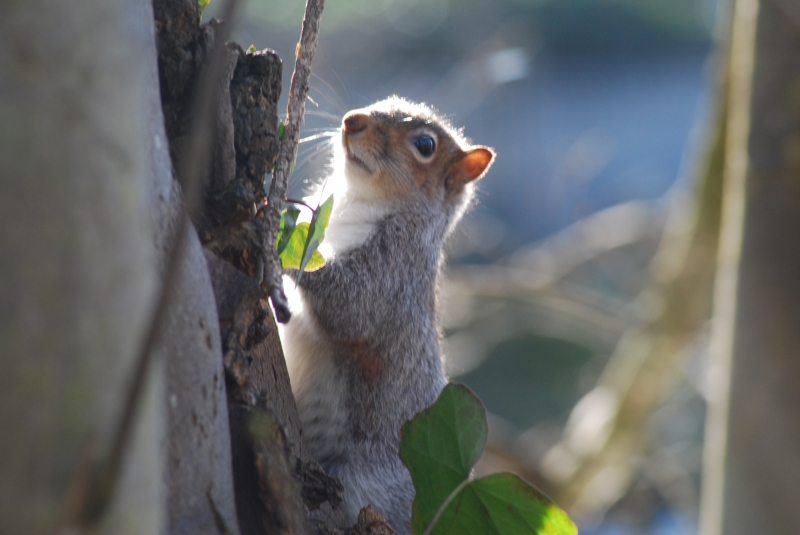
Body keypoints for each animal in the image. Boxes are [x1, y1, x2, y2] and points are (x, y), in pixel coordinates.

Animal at [280, 97, 494, 535]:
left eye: (425, 145)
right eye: (384, 101)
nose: (353, 121)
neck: (355, 201)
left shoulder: (394, 273)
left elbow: (349, 305)